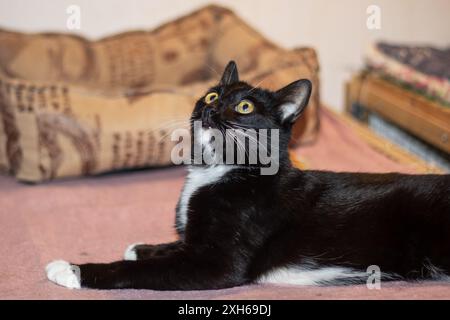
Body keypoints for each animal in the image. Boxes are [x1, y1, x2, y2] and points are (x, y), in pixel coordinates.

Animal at [46, 60, 450, 290]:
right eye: (211, 95)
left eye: (243, 107)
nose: (212, 110)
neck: (218, 170)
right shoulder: (197, 243)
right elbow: (171, 247)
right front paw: (141, 247)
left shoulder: (216, 264)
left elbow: (147, 270)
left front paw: (71, 270)